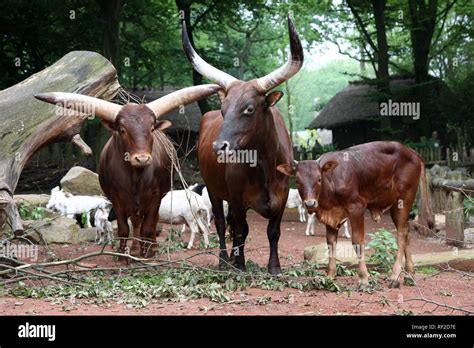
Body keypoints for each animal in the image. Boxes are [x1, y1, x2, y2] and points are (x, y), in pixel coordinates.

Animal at [35, 84, 220, 258]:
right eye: (122, 130)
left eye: (151, 129)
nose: (142, 159)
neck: (135, 176)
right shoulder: (116, 198)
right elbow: (124, 229)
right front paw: (123, 257)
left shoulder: (155, 198)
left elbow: (148, 227)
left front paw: (148, 254)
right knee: (136, 222)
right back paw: (136, 249)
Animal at [181, 16, 304, 274]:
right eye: (223, 109)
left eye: (249, 109)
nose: (219, 147)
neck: (264, 165)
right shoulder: (237, 199)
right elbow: (240, 230)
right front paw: (239, 264)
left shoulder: (282, 197)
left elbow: (273, 232)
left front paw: (274, 267)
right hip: (213, 190)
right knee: (221, 223)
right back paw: (224, 259)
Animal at [276, 141, 436, 288]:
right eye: (297, 181)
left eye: (319, 179)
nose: (310, 204)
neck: (331, 181)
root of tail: (414, 154)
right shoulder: (332, 217)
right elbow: (331, 243)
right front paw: (330, 275)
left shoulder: (356, 208)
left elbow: (357, 241)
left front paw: (364, 278)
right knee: (407, 232)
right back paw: (409, 275)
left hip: (403, 200)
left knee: (402, 234)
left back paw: (395, 276)